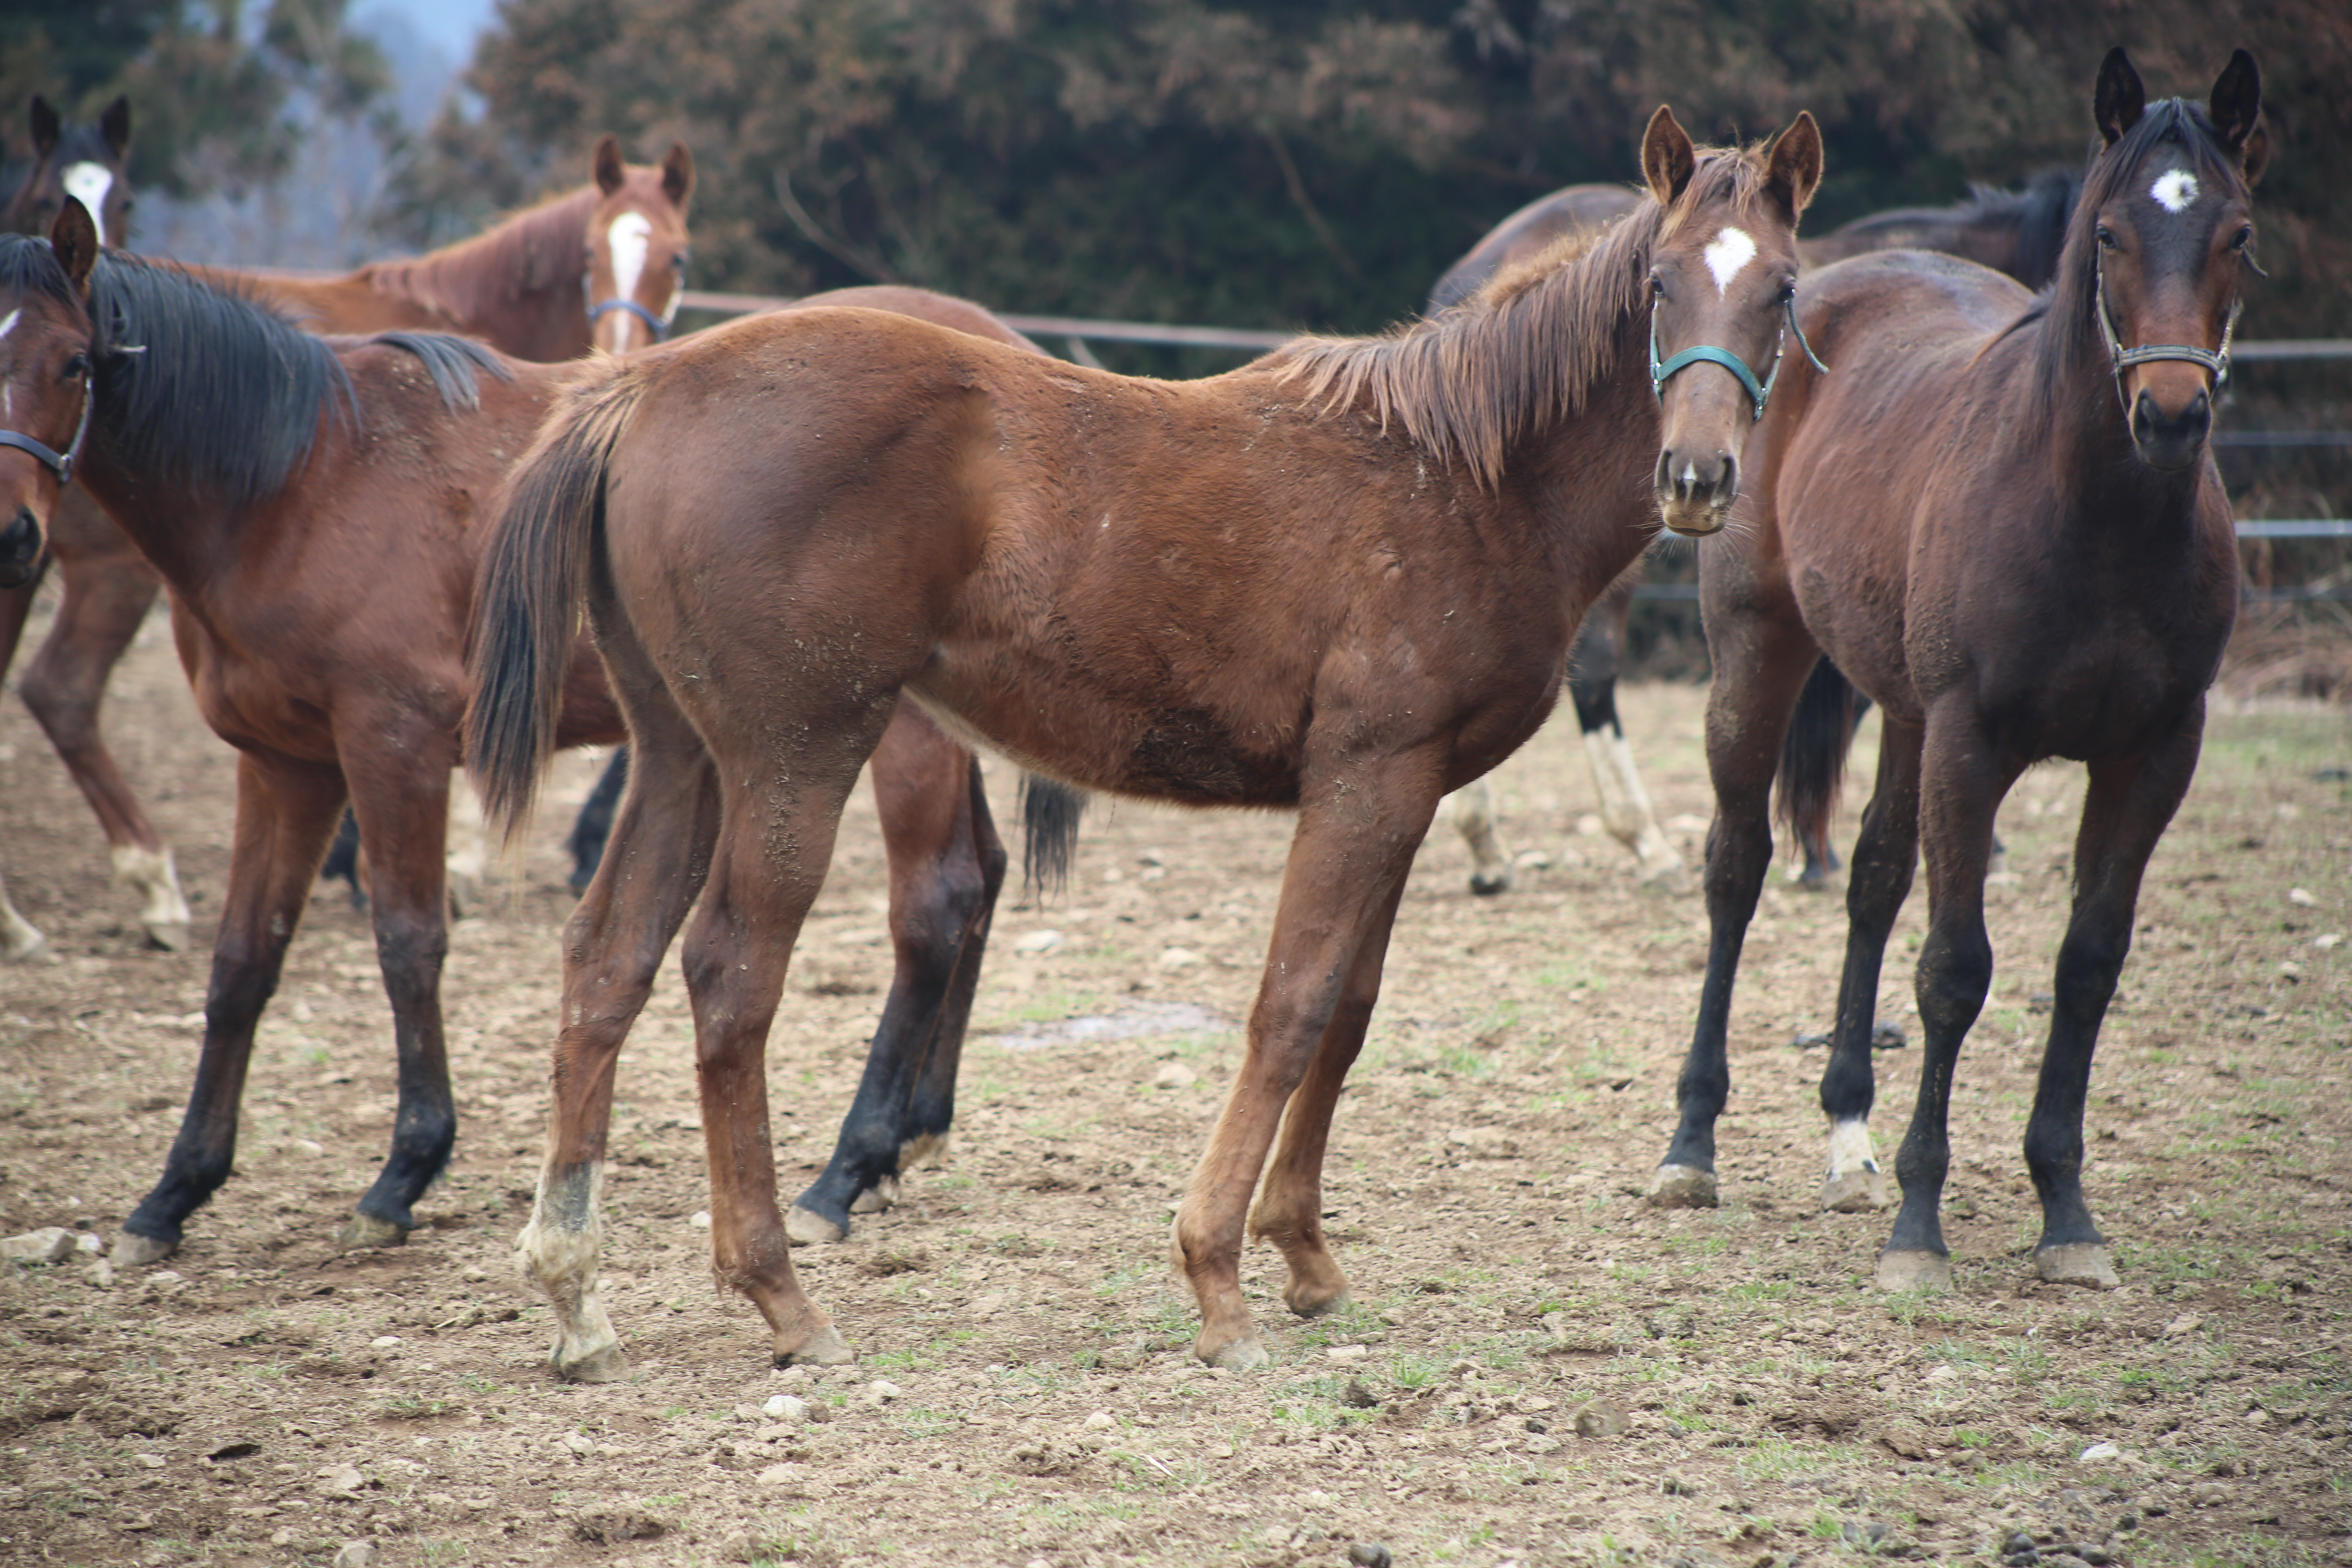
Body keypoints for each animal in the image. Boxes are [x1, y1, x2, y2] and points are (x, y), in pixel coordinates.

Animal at [459, 107, 1815, 1373]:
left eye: (1784, 287)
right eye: (1659, 284)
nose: (1698, 478)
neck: (1465, 474)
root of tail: (643, 392)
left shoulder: (1408, 789)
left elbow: (1351, 1006)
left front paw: (1304, 1254)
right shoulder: (1367, 781)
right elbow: (1291, 1007)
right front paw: (1219, 1279)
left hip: (680, 755)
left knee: (608, 960)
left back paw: (576, 1291)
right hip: (796, 753)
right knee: (731, 975)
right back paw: (784, 1293)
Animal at [1637, 49, 2258, 1297]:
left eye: (2237, 234)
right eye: (2107, 233)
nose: (2170, 414)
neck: (2096, 515)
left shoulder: (2154, 752)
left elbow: (2085, 965)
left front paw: (2064, 1212)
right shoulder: (1973, 741)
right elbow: (1954, 969)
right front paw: (1920, 1228)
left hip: (1902, 710)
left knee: (1873, 876)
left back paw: (1848, 1136)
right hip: (1760, 659)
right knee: (1736, 870)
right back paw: (1692, 1144)